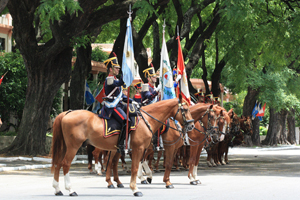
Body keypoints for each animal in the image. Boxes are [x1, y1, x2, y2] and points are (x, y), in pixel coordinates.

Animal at [51, 97, 195, 196]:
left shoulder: (140, 149)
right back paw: (71, 190)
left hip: (65, 147)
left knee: (58, 163)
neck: (146, 120)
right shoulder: (139, 148)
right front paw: (135, 188)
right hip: (73, 146)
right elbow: (136, 167)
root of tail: (67, 113)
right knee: (66, 164)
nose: (192, 125)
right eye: (185, 109)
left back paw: (58, 189)